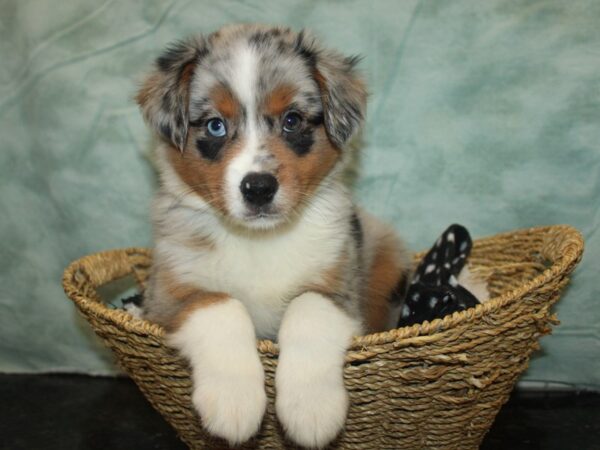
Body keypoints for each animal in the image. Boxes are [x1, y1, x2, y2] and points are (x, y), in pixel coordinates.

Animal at [135, 25, 412, 450]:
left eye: (292, 120)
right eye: (215, 125)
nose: (259, 188)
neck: (258, 240)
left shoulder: (340, 290)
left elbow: (307, 309)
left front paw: (312, 410)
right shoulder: (167, 294)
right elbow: (221, 305)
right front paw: (233, 402)